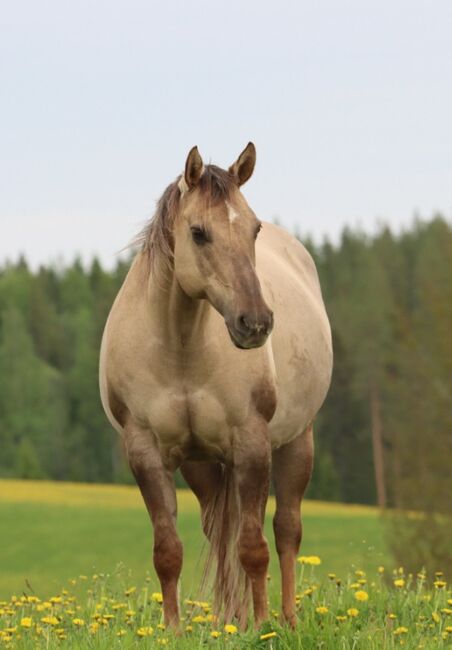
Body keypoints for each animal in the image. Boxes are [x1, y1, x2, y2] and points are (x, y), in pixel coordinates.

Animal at [99, 143, 332, 629]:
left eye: (254, 228)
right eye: (198, 233)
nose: (255, 322)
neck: (180, 346)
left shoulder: (252, 444)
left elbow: (254, 546)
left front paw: (262, 628)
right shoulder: (146, 452)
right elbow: (169, 550)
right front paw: (173, 630)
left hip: (296, 441)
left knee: (286, 528)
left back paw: (284, 619)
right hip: (202, 463)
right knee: (218, 531)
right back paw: (230, 618)